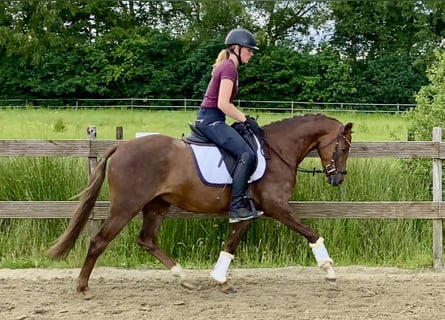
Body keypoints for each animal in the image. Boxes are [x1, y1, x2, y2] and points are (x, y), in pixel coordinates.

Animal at [47, 112, 354, 298]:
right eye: (343, 147)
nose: (338, 178)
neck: (276, 151)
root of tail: (121, 147)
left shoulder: (247, 212)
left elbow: (230, 243)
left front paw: (221, 279)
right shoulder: (276, 206)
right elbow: (311, 233)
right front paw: (329, 270)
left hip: (156, 206)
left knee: (147, 240)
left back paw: (184, 277)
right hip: (125, 206)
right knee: (99, 241)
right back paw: (83, 287)